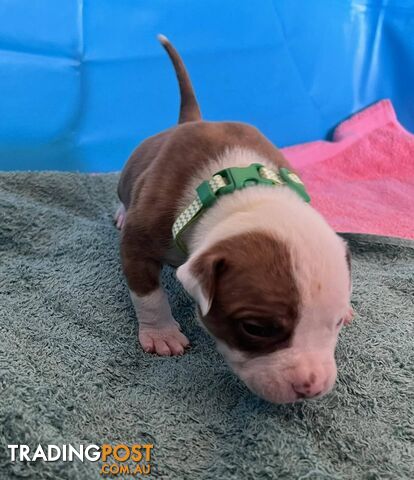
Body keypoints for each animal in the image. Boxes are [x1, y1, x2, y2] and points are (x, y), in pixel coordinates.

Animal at [116, 33, 352, 404]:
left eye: (337, 321)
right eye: (255, 328)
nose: (311, 387)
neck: (242, 194)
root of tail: (191, 119)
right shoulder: (140, 241)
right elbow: (148, 293)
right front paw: (162, 334)